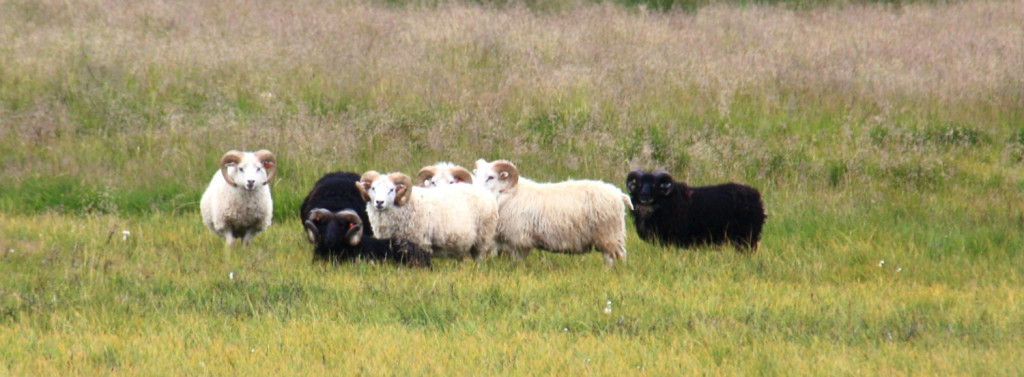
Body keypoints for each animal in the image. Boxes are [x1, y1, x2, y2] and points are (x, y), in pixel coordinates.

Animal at [354, 170, 497, 259]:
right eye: (373, 188)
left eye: (392, 190)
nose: (379, 202)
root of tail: (486, 192)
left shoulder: (419, 242)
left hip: (482, 237)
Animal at [471, 158, 630, 268]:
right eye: (476, 175)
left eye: (491, 177)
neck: (508, 194)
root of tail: (618, 193)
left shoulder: (519, 241)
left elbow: (519, 263)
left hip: (609, 234)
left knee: (619, 256)